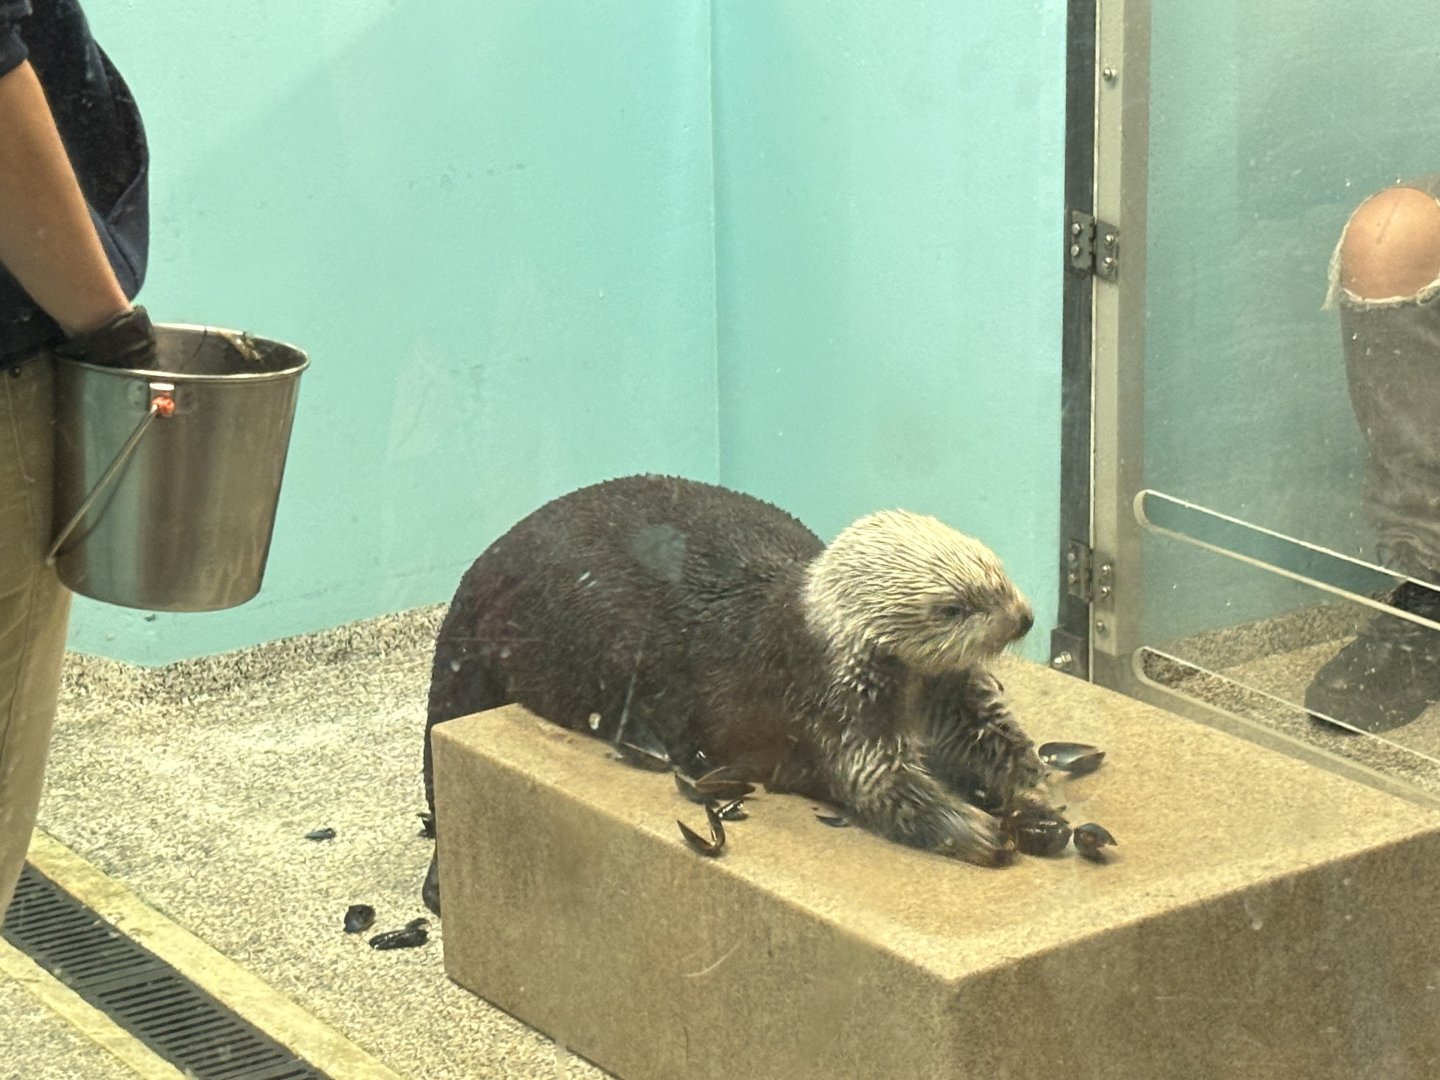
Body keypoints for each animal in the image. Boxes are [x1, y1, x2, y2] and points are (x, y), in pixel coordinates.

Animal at [422, 474, 1049, 913]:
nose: (1025, 617)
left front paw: (1033, 782)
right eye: (956, 607)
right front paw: (981, 830)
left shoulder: (946, 690)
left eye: (999, 572)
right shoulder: (836, 702)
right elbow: (880, 782)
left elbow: (983, 733)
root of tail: (478, 576)